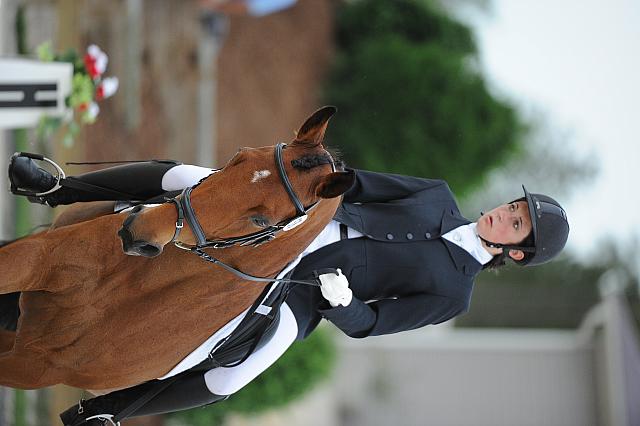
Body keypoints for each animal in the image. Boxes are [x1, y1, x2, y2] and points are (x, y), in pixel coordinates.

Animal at [0, 105, 356, 390]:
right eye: (239, 156)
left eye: (260, 220)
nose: (136, 229)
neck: (142, 285)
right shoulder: (36, 259)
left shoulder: (34, 366)